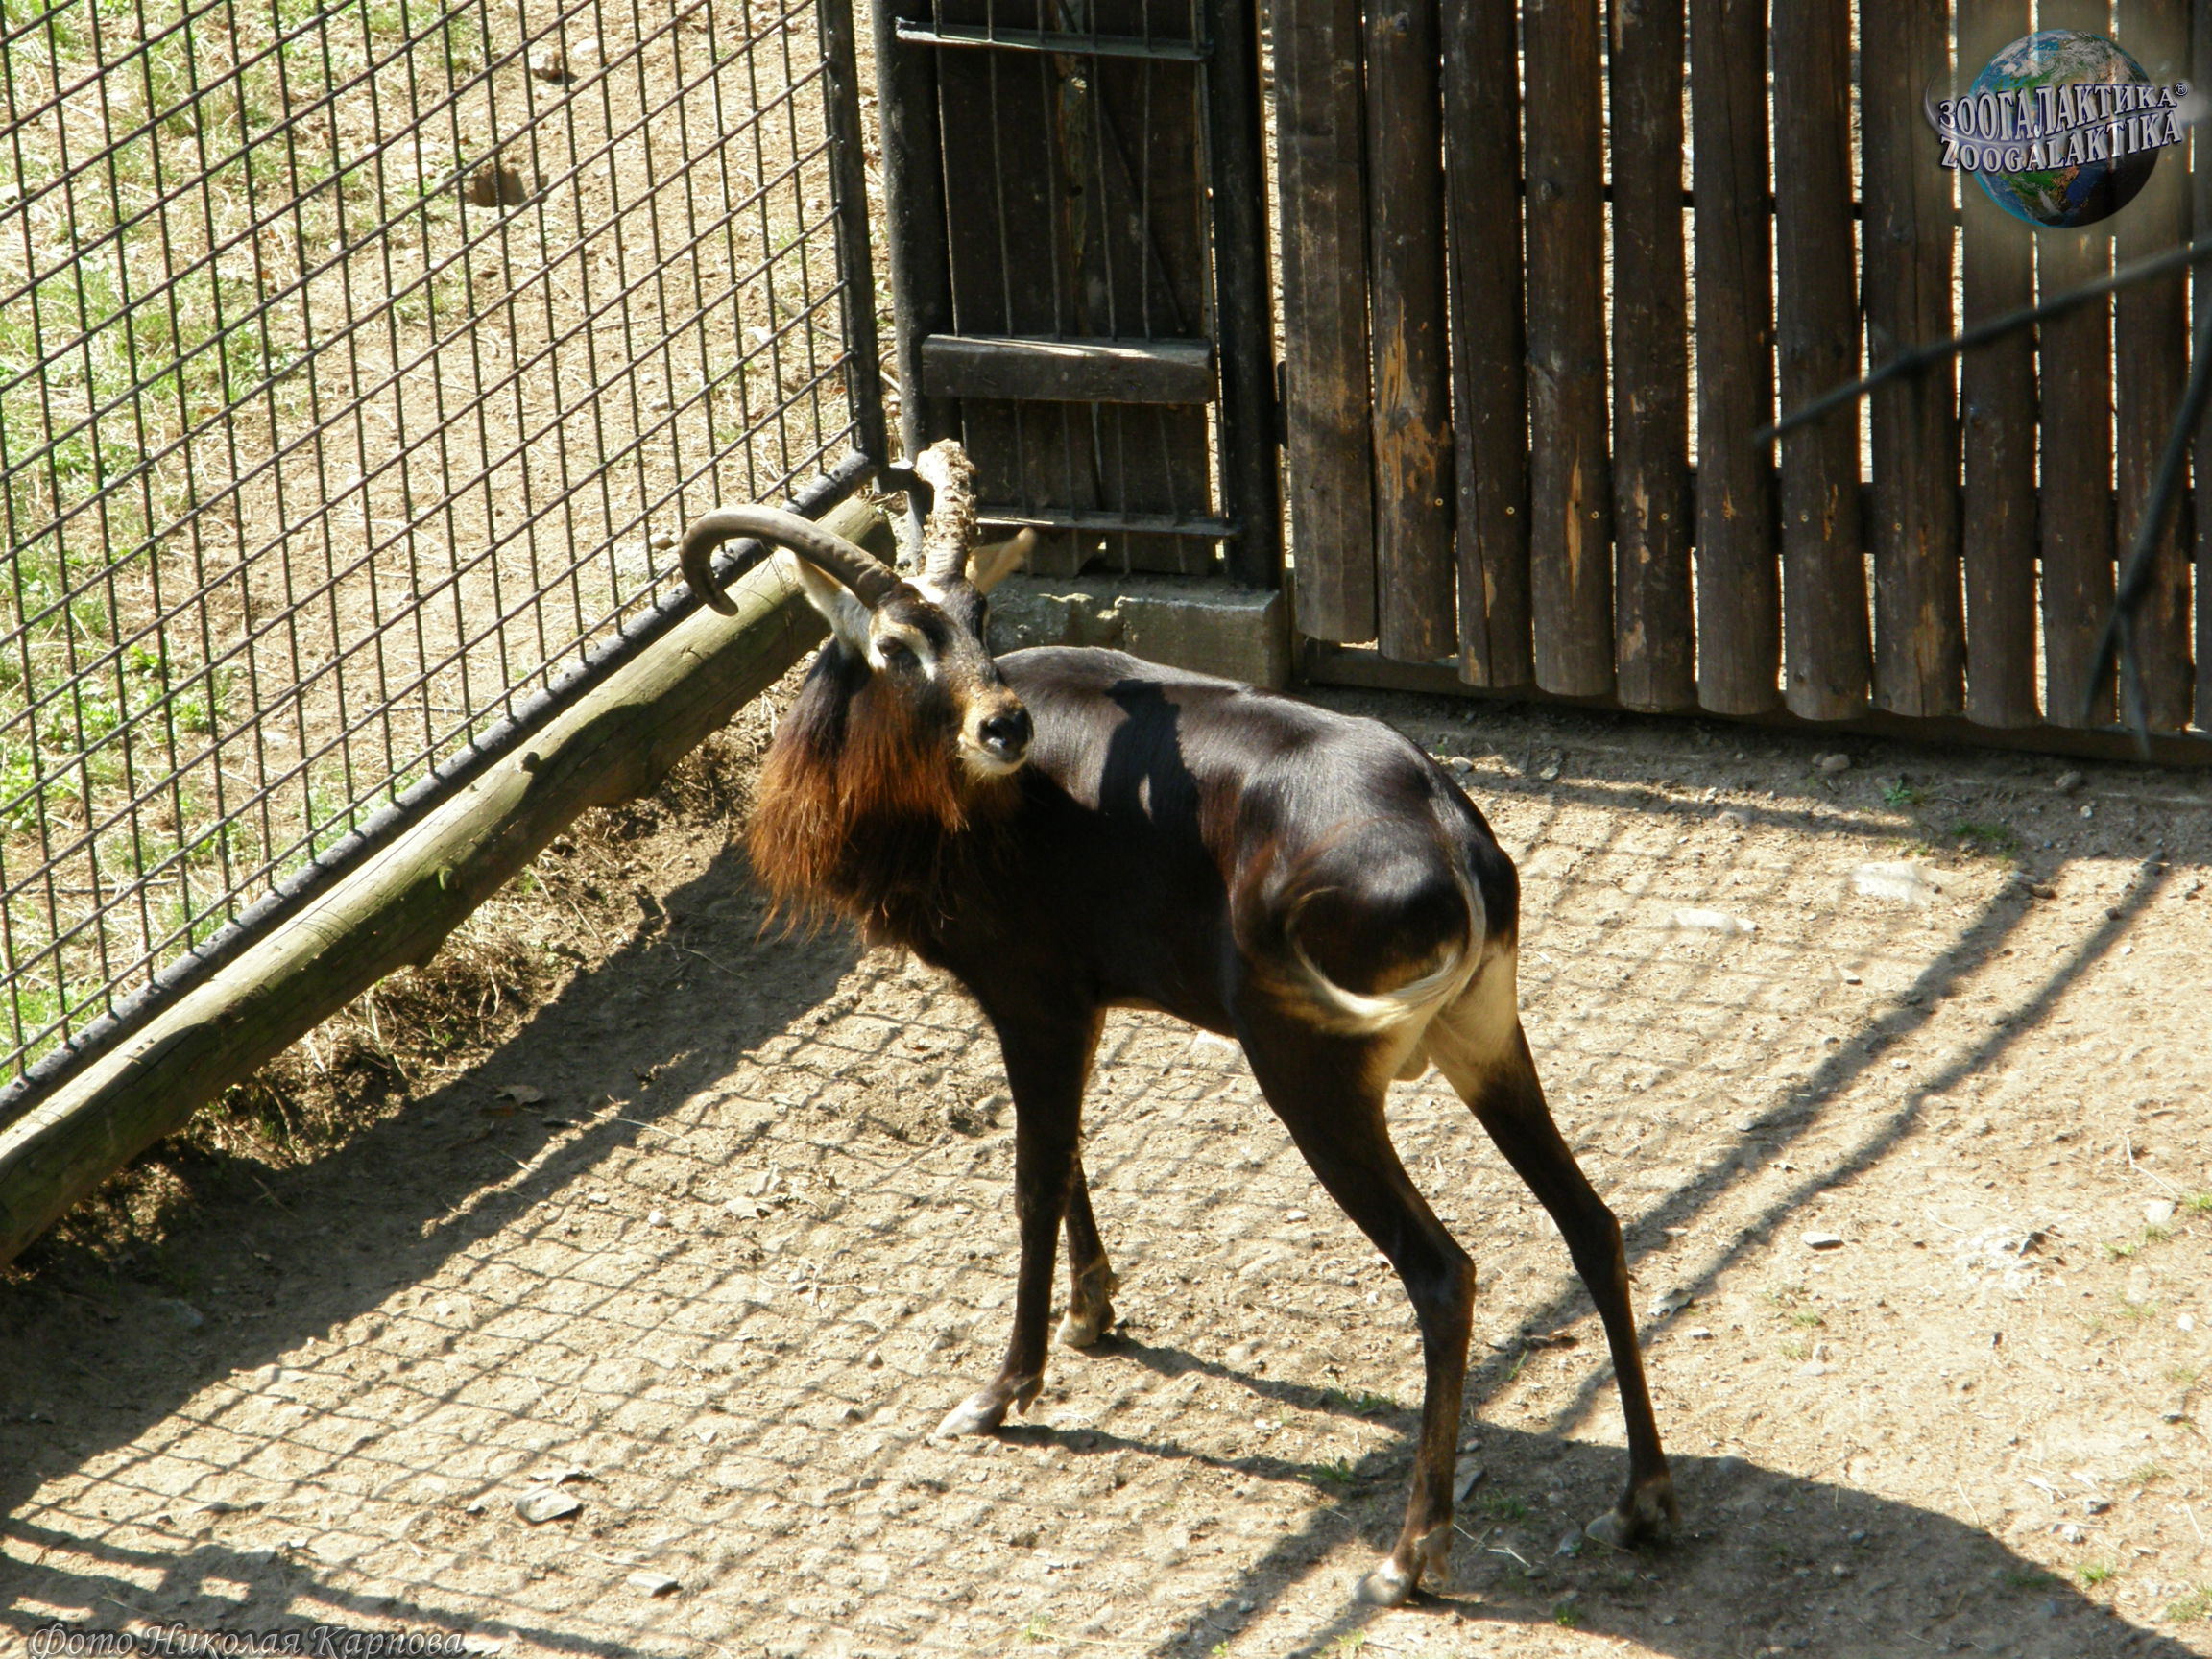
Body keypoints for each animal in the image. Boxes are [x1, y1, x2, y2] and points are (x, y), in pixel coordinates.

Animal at [680, 440, 1675, 1604]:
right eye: (899, 640)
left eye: (979, 613)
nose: (1003, 727)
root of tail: (1447, 829)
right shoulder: (1079, 1010)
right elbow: (1070, 1161)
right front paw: (1094, 1315)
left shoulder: (1034, 1005)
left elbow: (1033, 1180)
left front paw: (1004, 1390)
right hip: (1488, 1047)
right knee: (1591, 1223)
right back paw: (1643, 1501)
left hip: (1312, 1083)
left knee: (1443, 1273)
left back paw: (1407, 1557)